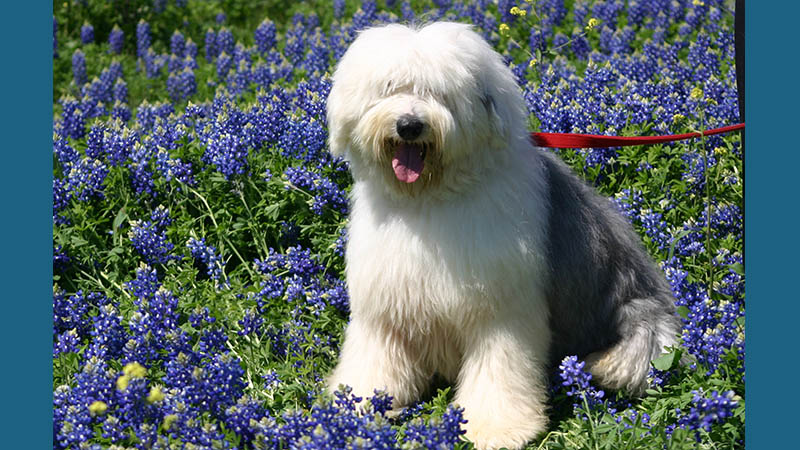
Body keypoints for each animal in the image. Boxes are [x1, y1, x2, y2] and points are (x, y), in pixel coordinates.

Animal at [324, 22, 680, 450]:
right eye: (390, 87)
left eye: (439, 93)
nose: (409, 125)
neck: (429, 199)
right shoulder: (385, 304)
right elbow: (373, 360)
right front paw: (356, 407)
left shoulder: (500, 312)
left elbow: (500, 372)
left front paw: (498, 429)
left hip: (643, 325)